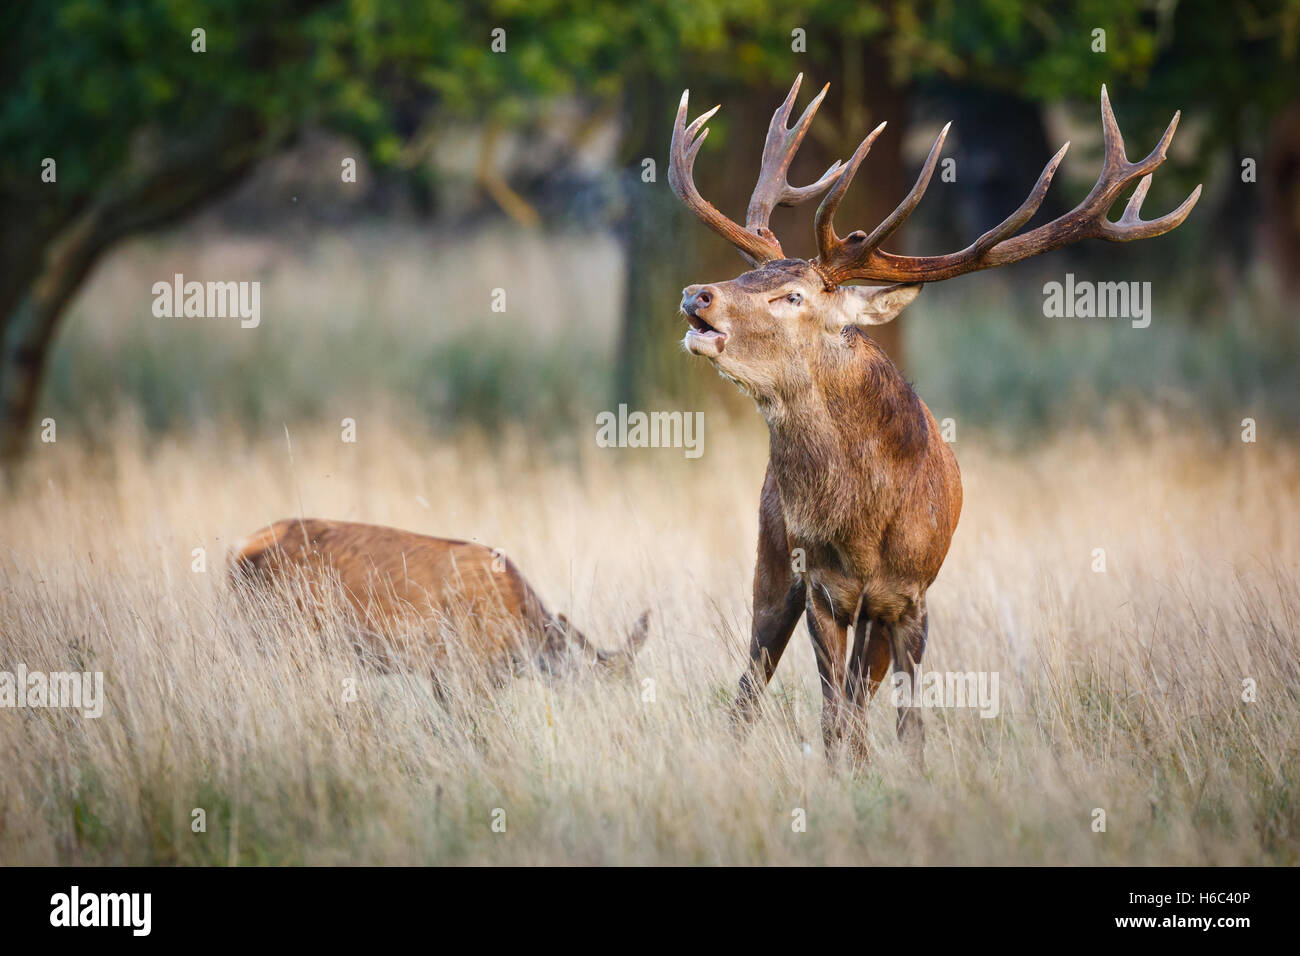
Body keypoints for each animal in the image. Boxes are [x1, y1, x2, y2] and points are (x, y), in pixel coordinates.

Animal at [668, 74, 1198, 765]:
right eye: (746, 272)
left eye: (793, 296)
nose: (696, 294)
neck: (864, 528)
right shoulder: (822, 590)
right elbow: (831, 720)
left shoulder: (910, 598)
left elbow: (907, 724)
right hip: (772, 559)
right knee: (752, 686)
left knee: (848, 695)